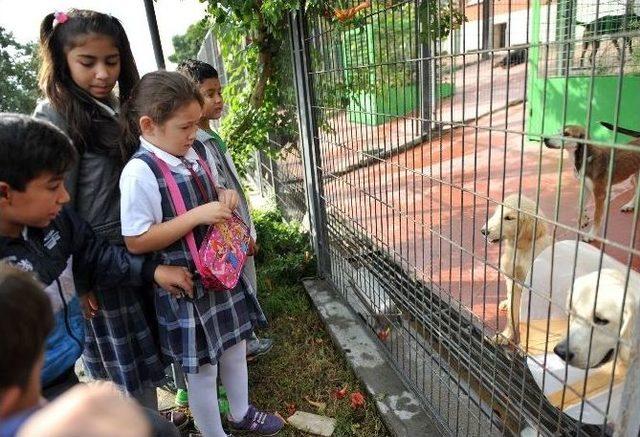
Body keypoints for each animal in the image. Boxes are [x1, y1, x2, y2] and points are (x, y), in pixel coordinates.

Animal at [482, 194, 552, 344]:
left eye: (509, 218)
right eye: (497, 213)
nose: (483, 231)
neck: (520, 252)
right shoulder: (512, 282)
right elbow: (512, 315)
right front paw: (506, 335)